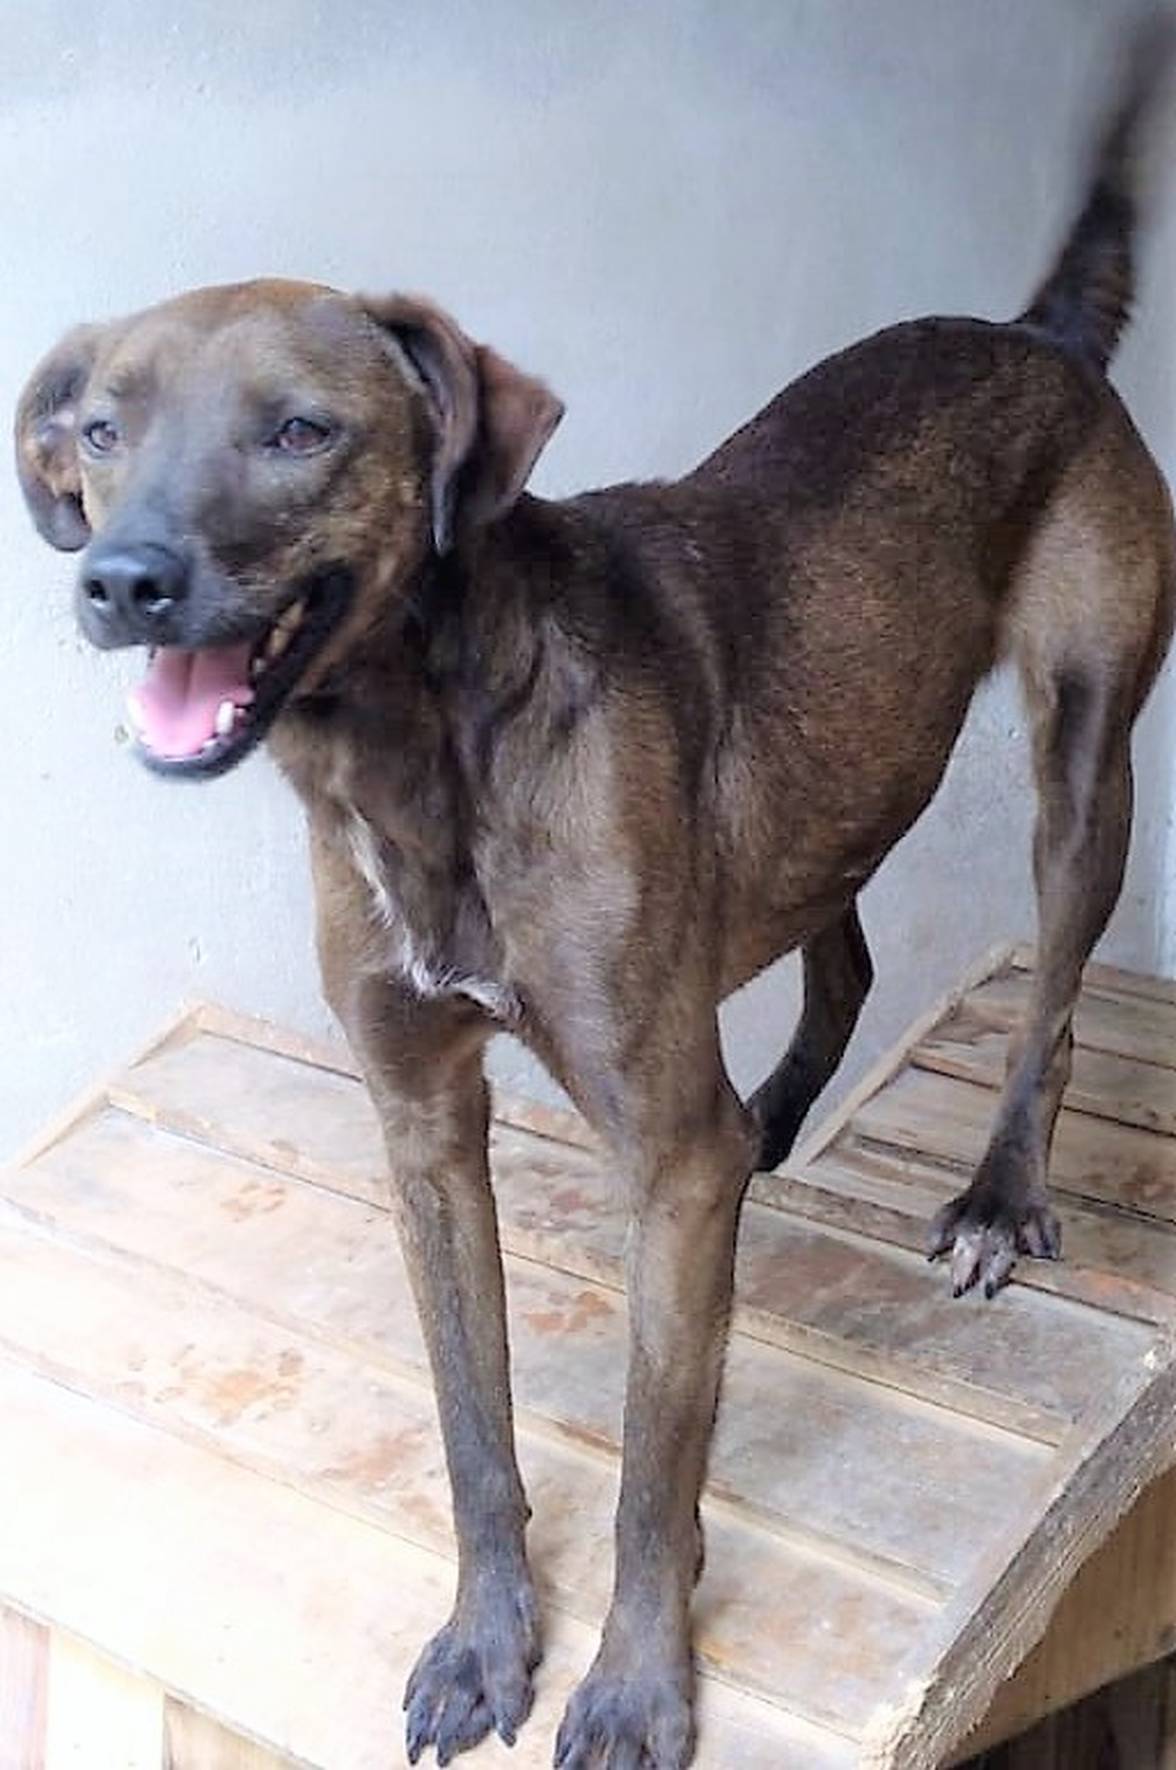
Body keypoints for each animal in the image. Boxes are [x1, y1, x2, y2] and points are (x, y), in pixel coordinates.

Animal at [15, 29, 1176, 1770]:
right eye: (99, 430)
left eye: (302, 432)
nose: (122, 581)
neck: (424, 761)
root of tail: (1037, 337)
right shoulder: (423, 1124)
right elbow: (471, 1425)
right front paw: (486, 1640)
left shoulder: (666, 1165)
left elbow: (649, 1465)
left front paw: (632, 1685)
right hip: (820, 787)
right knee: (840, 956)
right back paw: (788, 1110)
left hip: (1082, 752)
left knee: (1050, 987)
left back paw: (997, 1192)